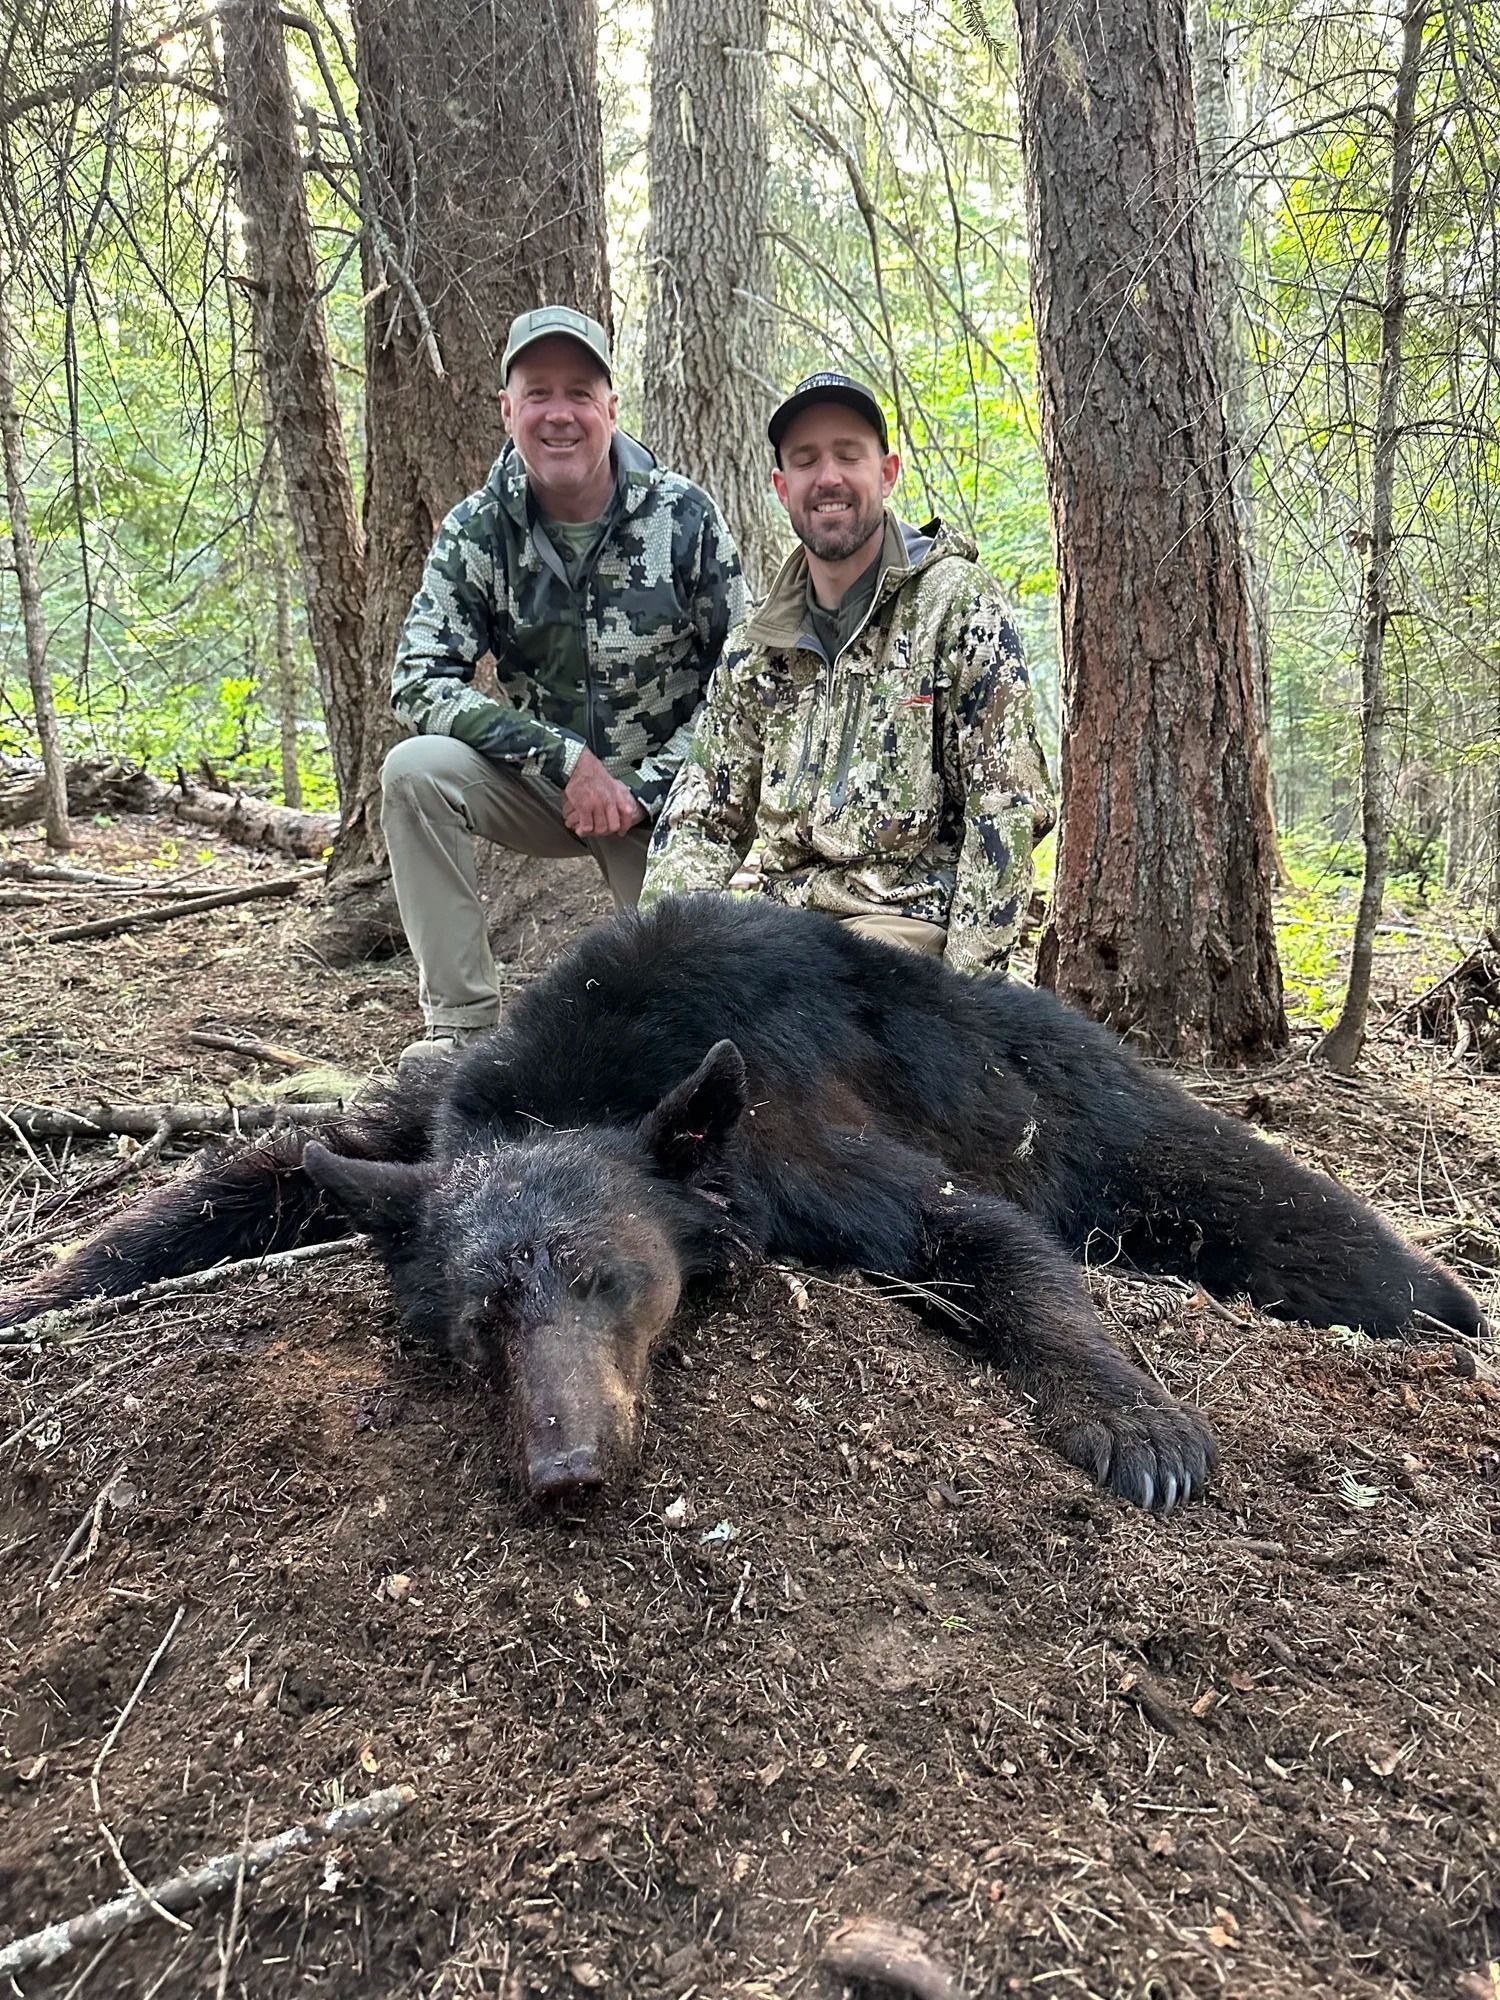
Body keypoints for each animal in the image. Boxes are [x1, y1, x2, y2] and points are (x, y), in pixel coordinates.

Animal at [1, 895, 1484, 1511]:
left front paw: (1138, 1426)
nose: (568, 1466)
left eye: (616, 1282)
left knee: (1289, 1217)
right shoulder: (427, 1132)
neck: (594, 1068)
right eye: (479, 1320)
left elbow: (984, 1240)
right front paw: (50, 1282)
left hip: (1104, 1117)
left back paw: (1449, 1297)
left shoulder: (795, 1142)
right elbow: (262, 1172)